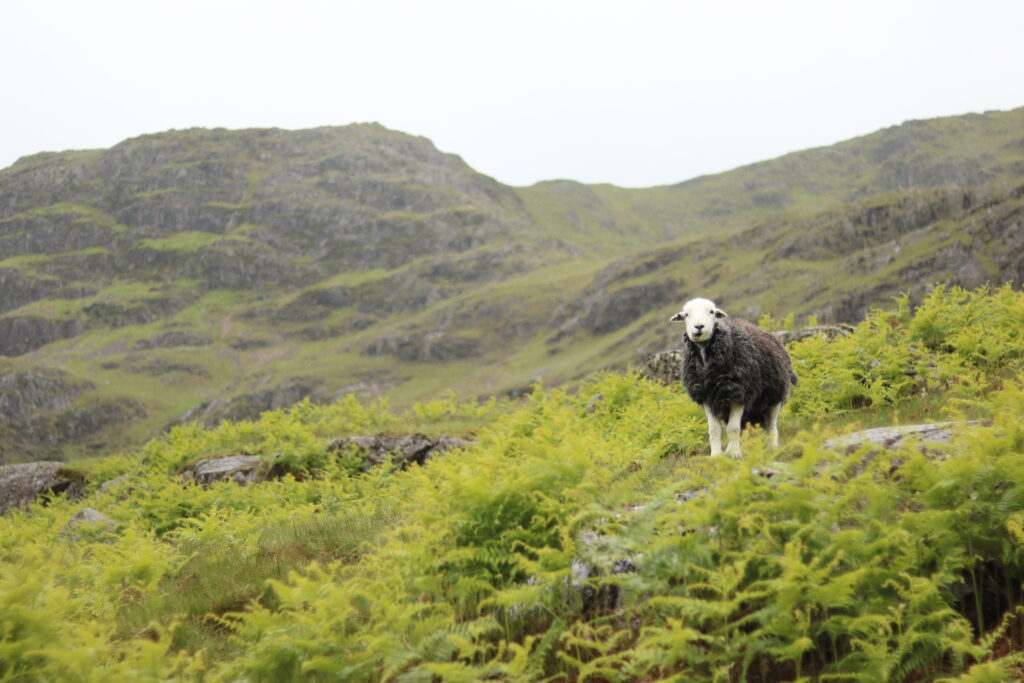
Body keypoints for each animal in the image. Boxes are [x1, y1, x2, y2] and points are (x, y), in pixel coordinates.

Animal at [670, 297, 797, 457]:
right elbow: (715, 430)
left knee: (771, 425)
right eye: (686, 314)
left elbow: (733, 428)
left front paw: (735, 454)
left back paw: (772, 446)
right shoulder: (707, 397)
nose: (699, 326)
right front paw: (717, 455)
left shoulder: (739, 393)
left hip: (775, 395)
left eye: (711, 312)